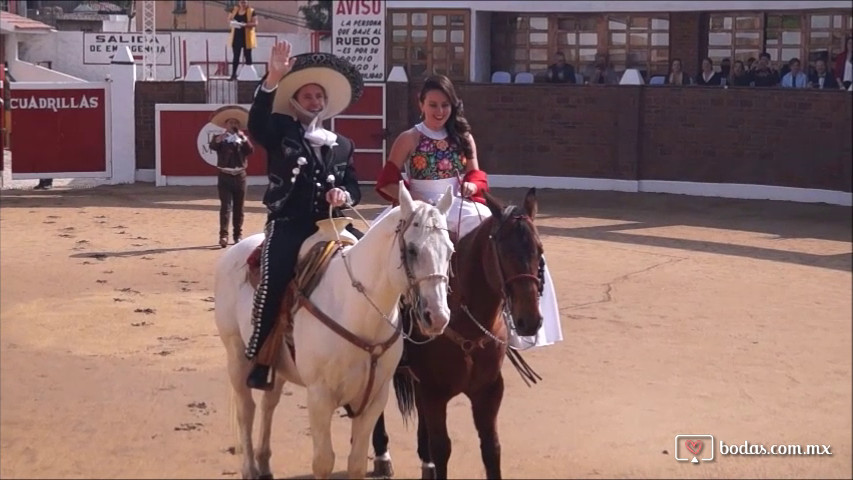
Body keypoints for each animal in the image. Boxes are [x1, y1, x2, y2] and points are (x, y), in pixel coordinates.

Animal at [212, 182, 456, 478]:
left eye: (451, 251)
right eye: (411, 249)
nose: (438, 317)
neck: (357, 311)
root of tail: (236, 251)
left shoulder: (375, 398)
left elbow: (357, 462)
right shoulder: (320, 397)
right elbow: (323, 461)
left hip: (276, 364)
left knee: (269, 403)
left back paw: (264, 462)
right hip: (236, 355)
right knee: (246, 409)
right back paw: (250, 467)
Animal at [370, 188, 544, 480]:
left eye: (539, 249)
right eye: (502, 250)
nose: (529, 321)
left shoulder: (488, 390)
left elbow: (491, 448)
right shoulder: (435, 392)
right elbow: (443, 447)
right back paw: (383, 455)